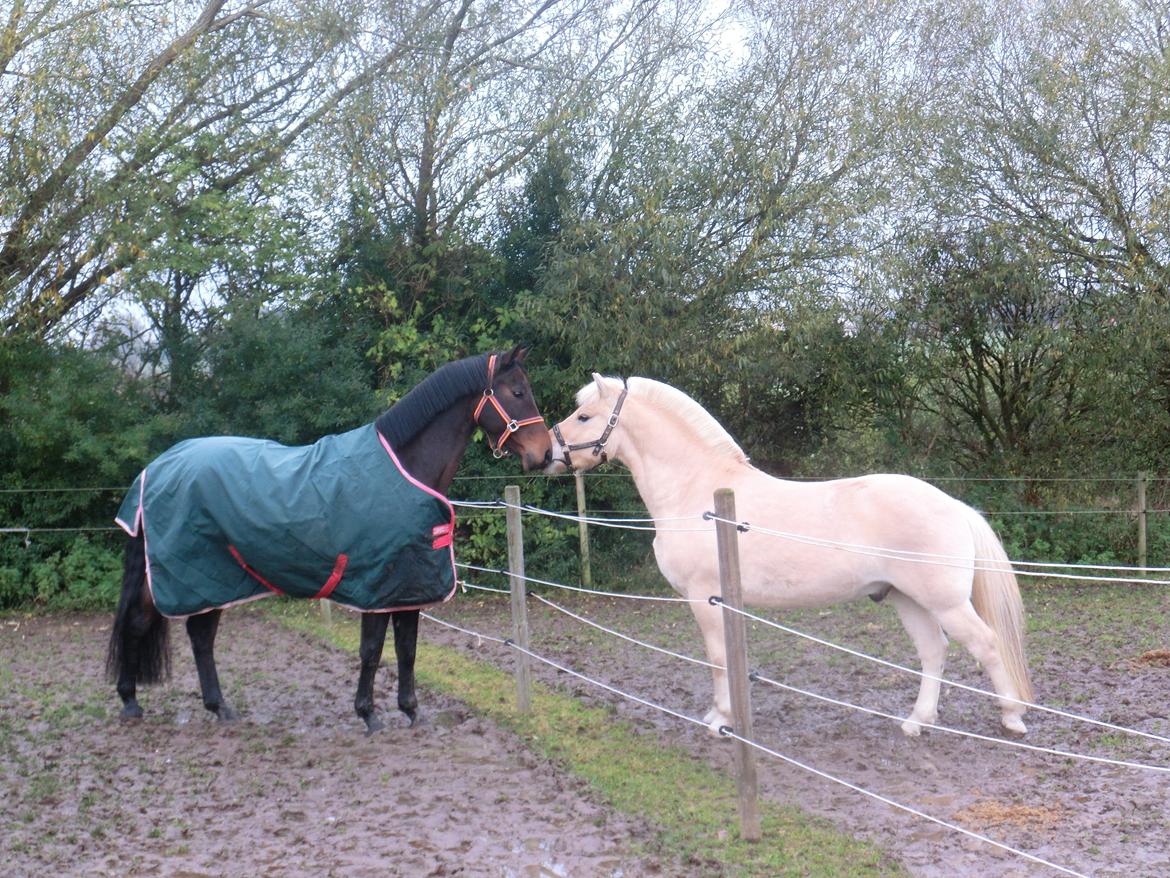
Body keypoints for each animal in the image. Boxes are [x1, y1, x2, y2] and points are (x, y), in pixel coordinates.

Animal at [107, 346, 549, 730]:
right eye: (517, 392)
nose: (545, 454)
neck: (406, 469)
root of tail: (155, 468)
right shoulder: (378, 586)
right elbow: (372, 651)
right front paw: (368, 715)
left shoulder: (409, 585)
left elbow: (407, 649)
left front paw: (410, 711)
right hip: (184, 576)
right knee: (138, 623)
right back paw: (129, 701)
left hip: (213, 577)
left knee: (201, 637)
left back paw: (220, 708)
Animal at [542, 374, 1029, 739]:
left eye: (584, 416)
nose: (545, 453)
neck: (695, 489)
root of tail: (956, 506)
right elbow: (730, 656)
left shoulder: (705, 598)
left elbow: (717, 657)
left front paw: (721, 719)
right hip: (906, 599)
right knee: (933, 652)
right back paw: (916, 722)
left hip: (945, 603)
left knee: (986, 645)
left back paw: (1011, 717)